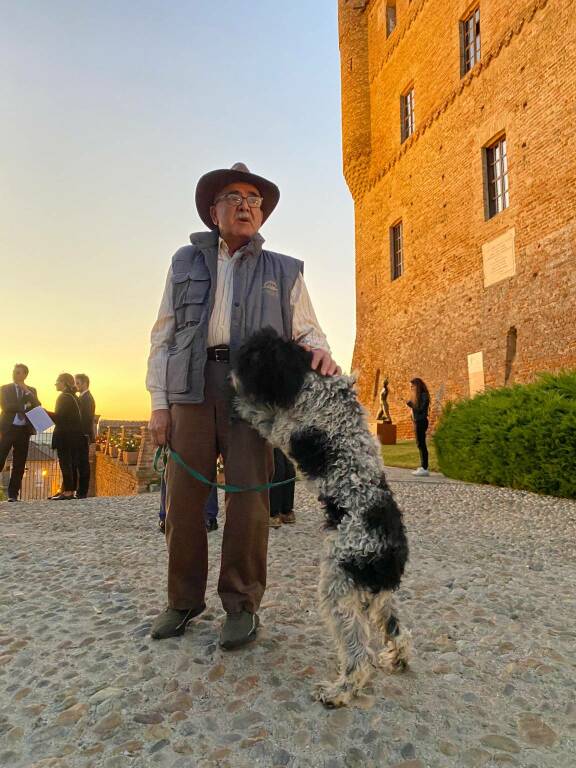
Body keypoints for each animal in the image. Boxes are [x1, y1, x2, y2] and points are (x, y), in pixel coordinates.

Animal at [230, 328, 410, 704]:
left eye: (254, 355)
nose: (232, 366)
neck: (310, 378)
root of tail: (390, 551)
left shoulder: (284, 428)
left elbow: (263, 416)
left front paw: (241, 402)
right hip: (379, 595)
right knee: (398, 629)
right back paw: (398, 660)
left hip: (338, 587)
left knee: (359, 653)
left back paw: (340, 690)